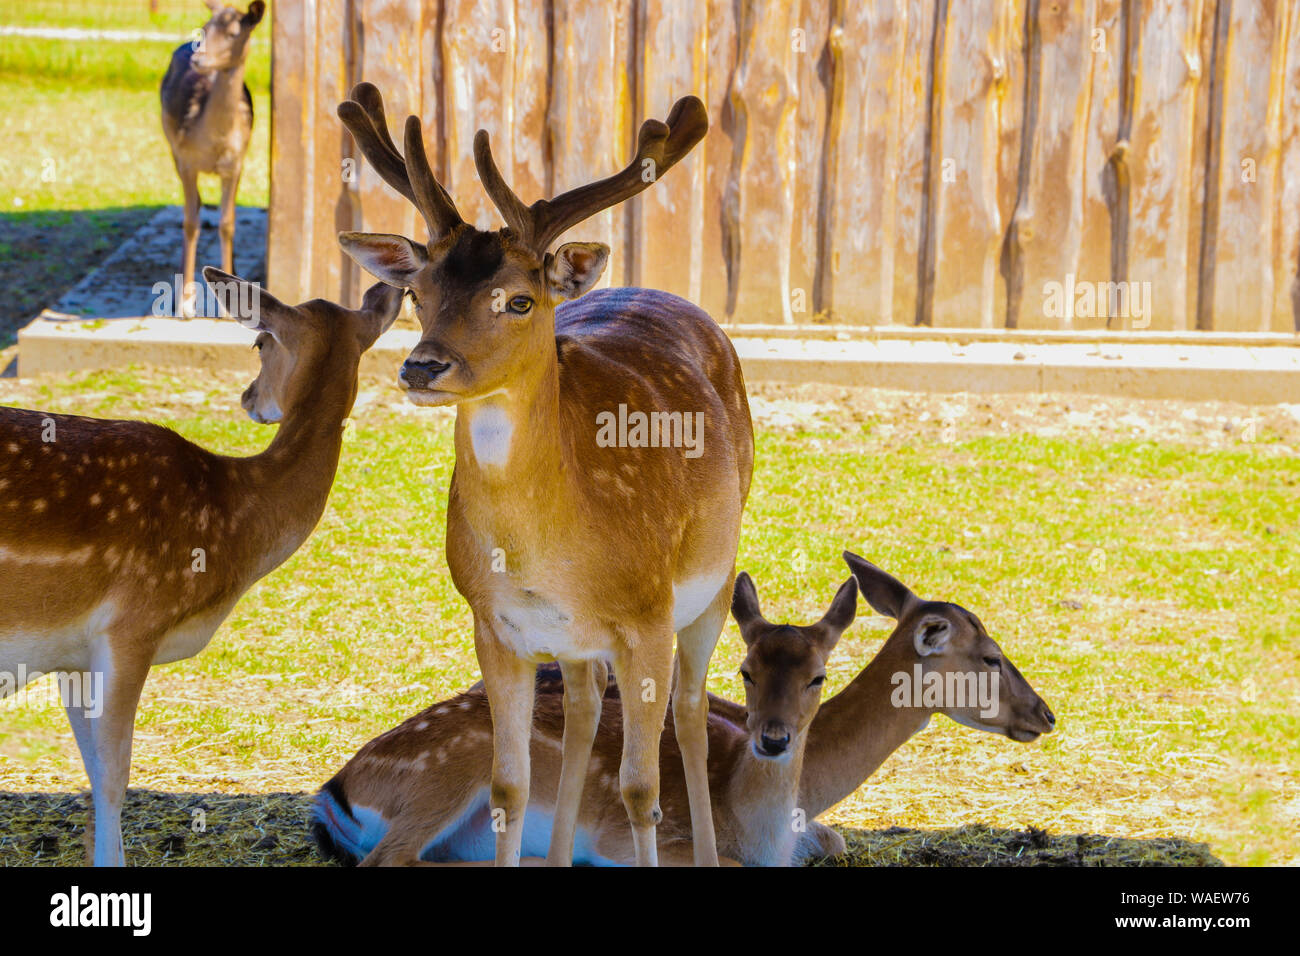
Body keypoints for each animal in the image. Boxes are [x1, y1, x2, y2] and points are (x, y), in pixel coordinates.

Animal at [0, 269, 400, 868]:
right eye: (258, 341)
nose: (249, 397)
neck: (234, 526)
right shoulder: (133, 622)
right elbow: (115, 775)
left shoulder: (69, 653)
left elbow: (92, 769)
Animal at [159, 0, 263, 317]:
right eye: (204, 28)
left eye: (233, 33)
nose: (198, 59)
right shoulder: (187, 160)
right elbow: (190, 222)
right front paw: (184, 302)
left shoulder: (236, 164)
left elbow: (227, 222)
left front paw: (229, 304)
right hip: (172, 147)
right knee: (193, 208)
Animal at [338, 83, 754, 868]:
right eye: (416, 294)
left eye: (518, 299)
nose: (422, 367)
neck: (542, 551)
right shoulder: (494, 622)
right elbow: (508, 786)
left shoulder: (647, 616)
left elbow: (642, 791)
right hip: (579, 641)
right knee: (587, 708)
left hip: (715, 576)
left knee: (688, 711)